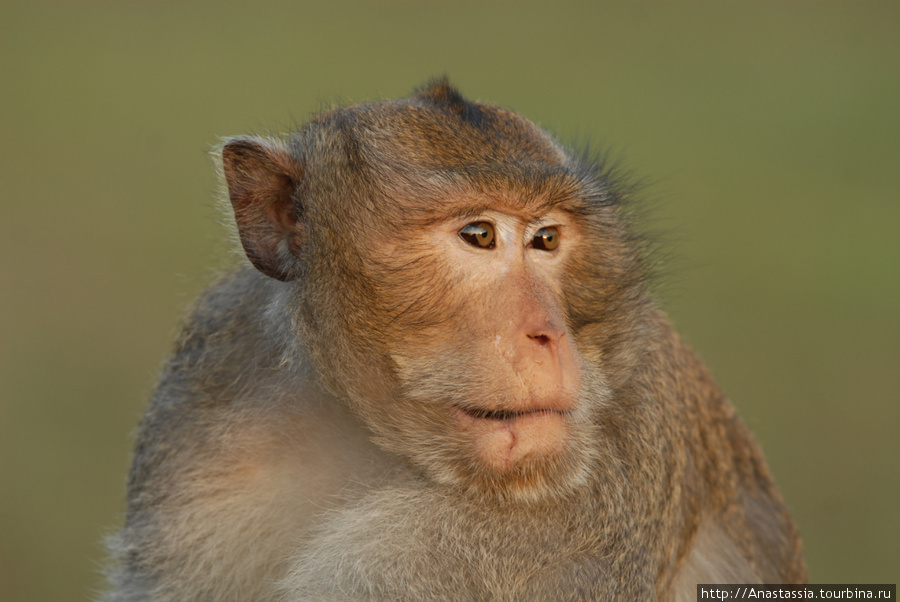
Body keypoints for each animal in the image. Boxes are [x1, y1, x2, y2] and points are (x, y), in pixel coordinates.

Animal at [105, 81, 808, 600]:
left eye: (546, 239)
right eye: (479, 236)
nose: (549, 334)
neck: (376, 441)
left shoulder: (583, 492)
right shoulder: (210, 395)